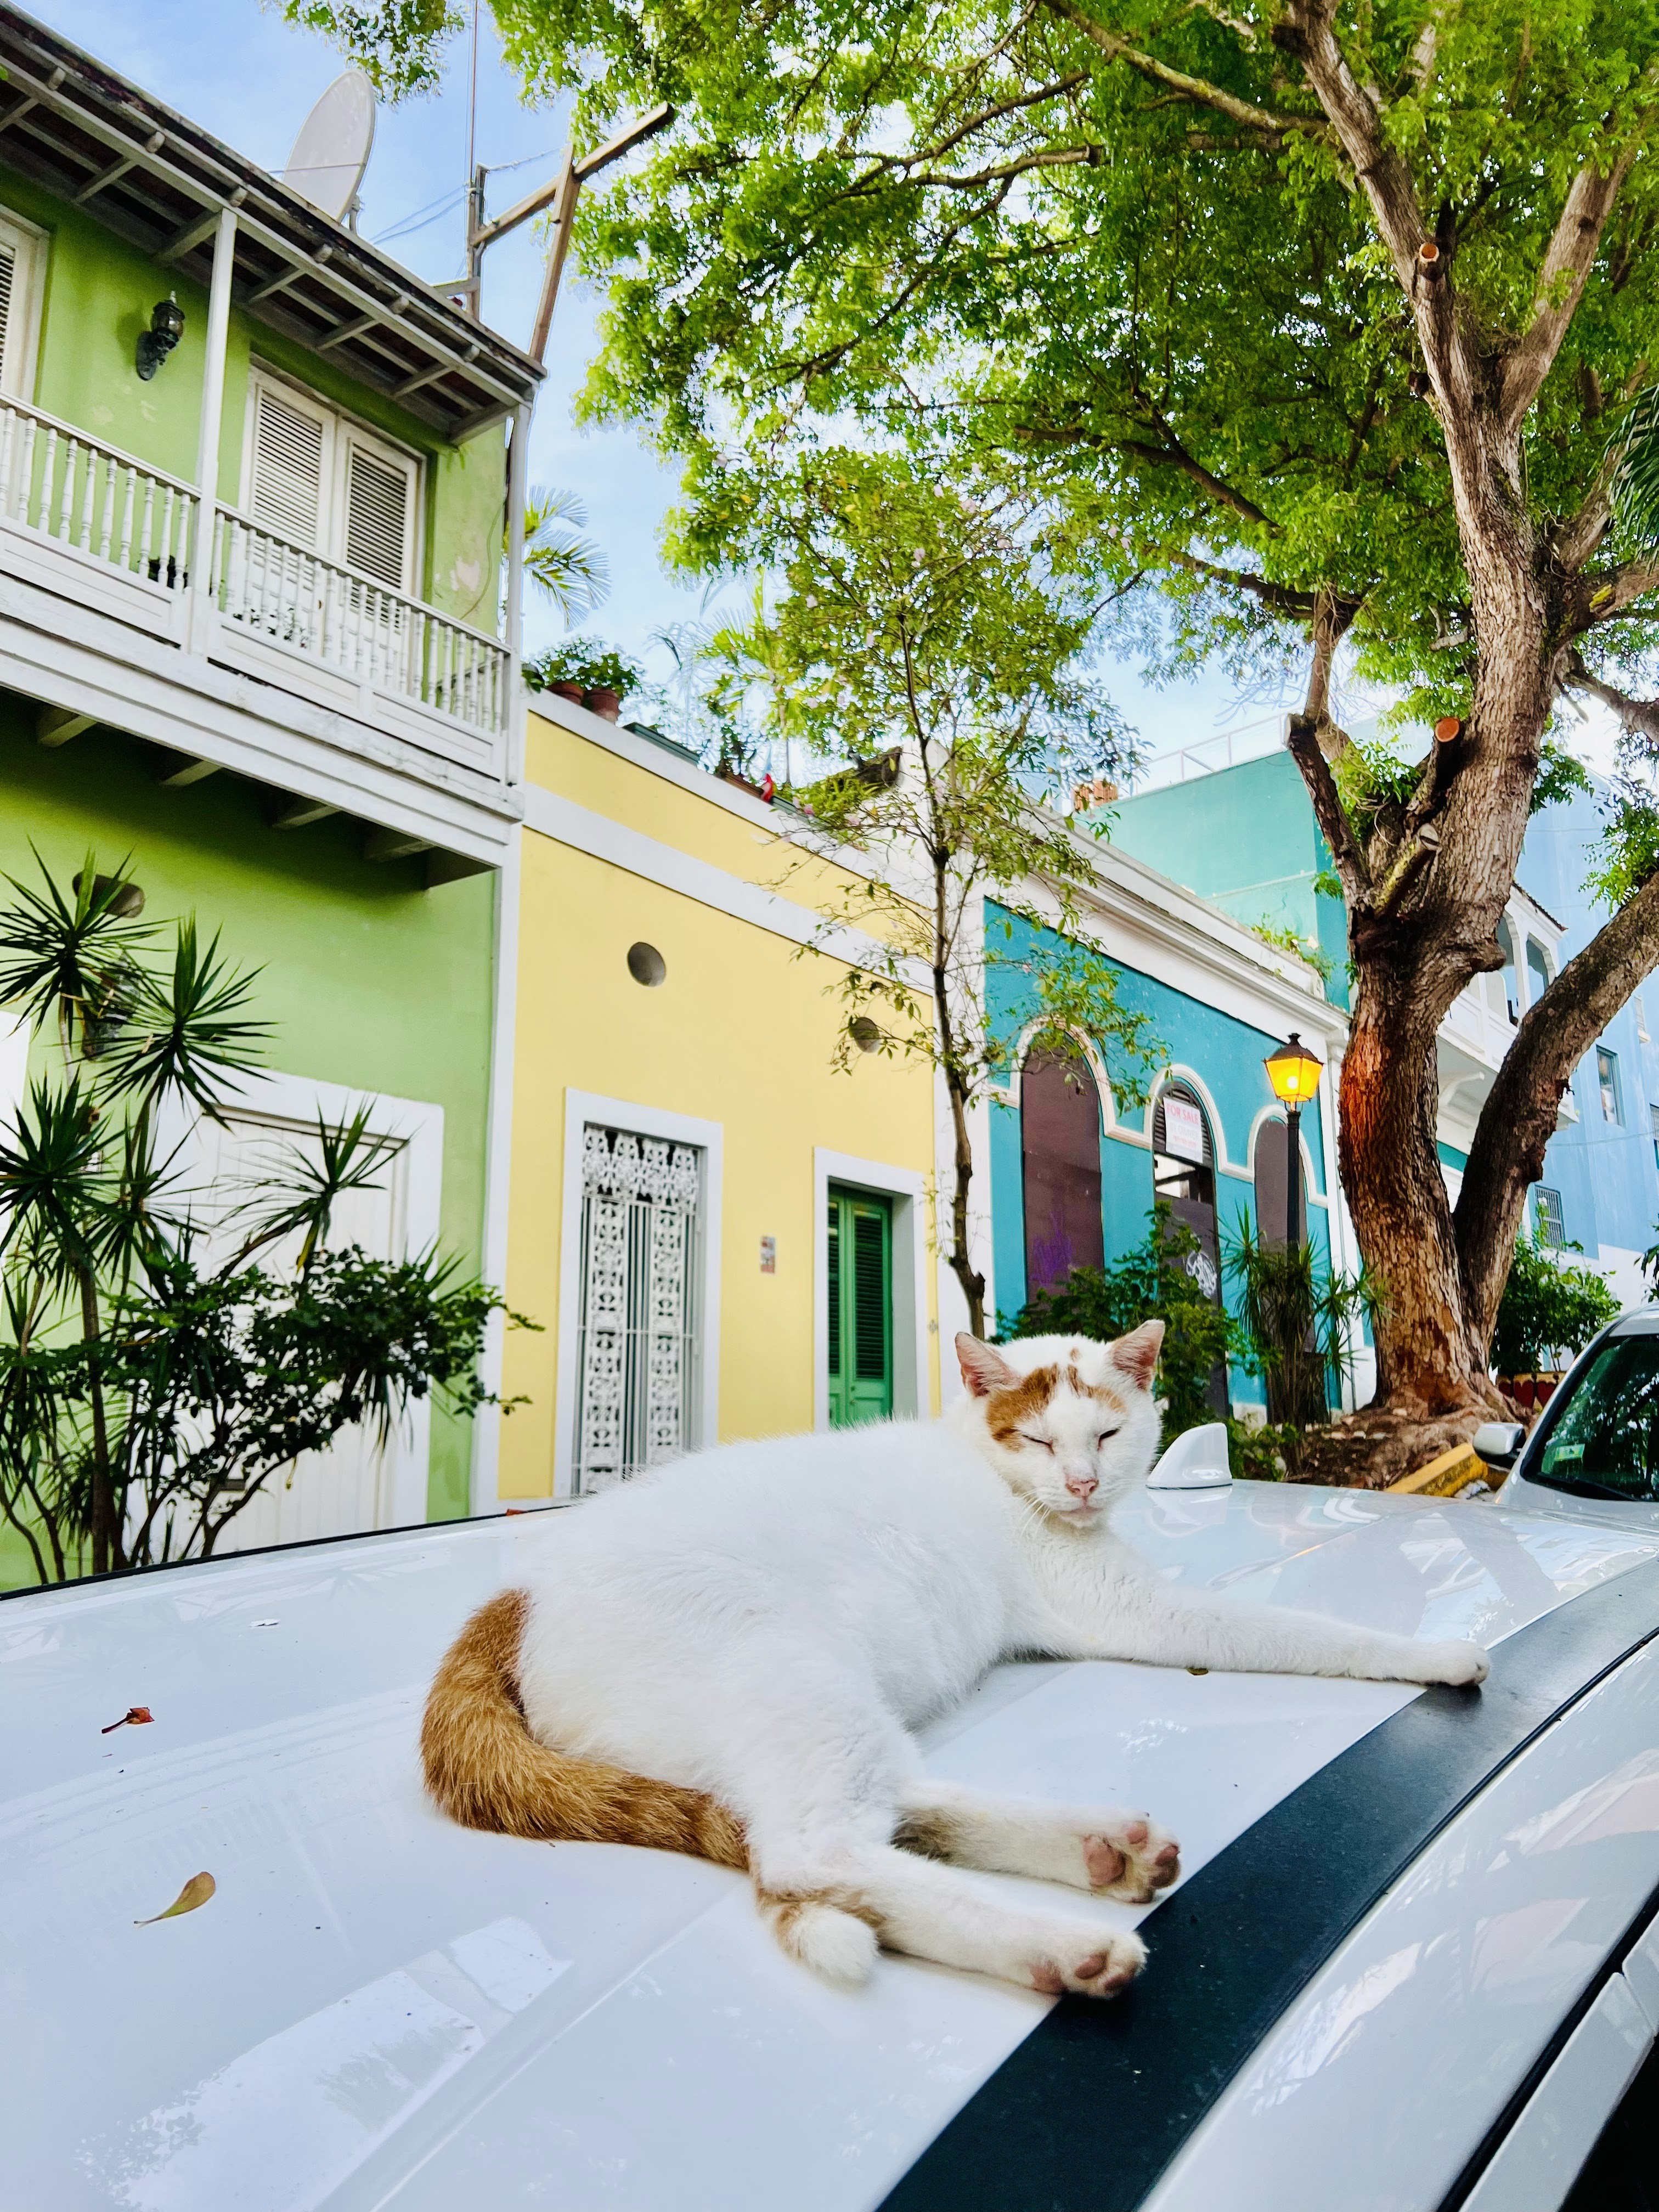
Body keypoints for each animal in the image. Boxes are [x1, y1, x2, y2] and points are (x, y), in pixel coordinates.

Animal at [429, 1318, 1495, 1999]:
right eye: (1038, 1439)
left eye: (1107, 1433)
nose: (1080, 1484)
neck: (988, 1467)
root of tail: (522, 1597)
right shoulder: (1137, 1611)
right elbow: (1308, 1631)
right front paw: (1435, 1649)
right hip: (789, 1670)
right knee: (810, 1849)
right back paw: (1062, 1948)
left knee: (896, 1808)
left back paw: (1097, 1851)